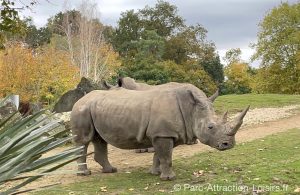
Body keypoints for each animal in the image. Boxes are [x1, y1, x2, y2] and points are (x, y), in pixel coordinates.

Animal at [70, 83, 248, 181]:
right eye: (210, 127)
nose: (228, 144)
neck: (191, 110)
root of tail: (79, 100)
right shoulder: (163, 134)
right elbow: (166, 157)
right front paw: (169, 178)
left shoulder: (162, 133)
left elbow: (159, 155)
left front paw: (155, 173)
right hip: (81, 109)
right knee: (84, 141)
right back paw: (85, 173)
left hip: (94, 109)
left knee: (99, 139)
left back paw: (110, 170)